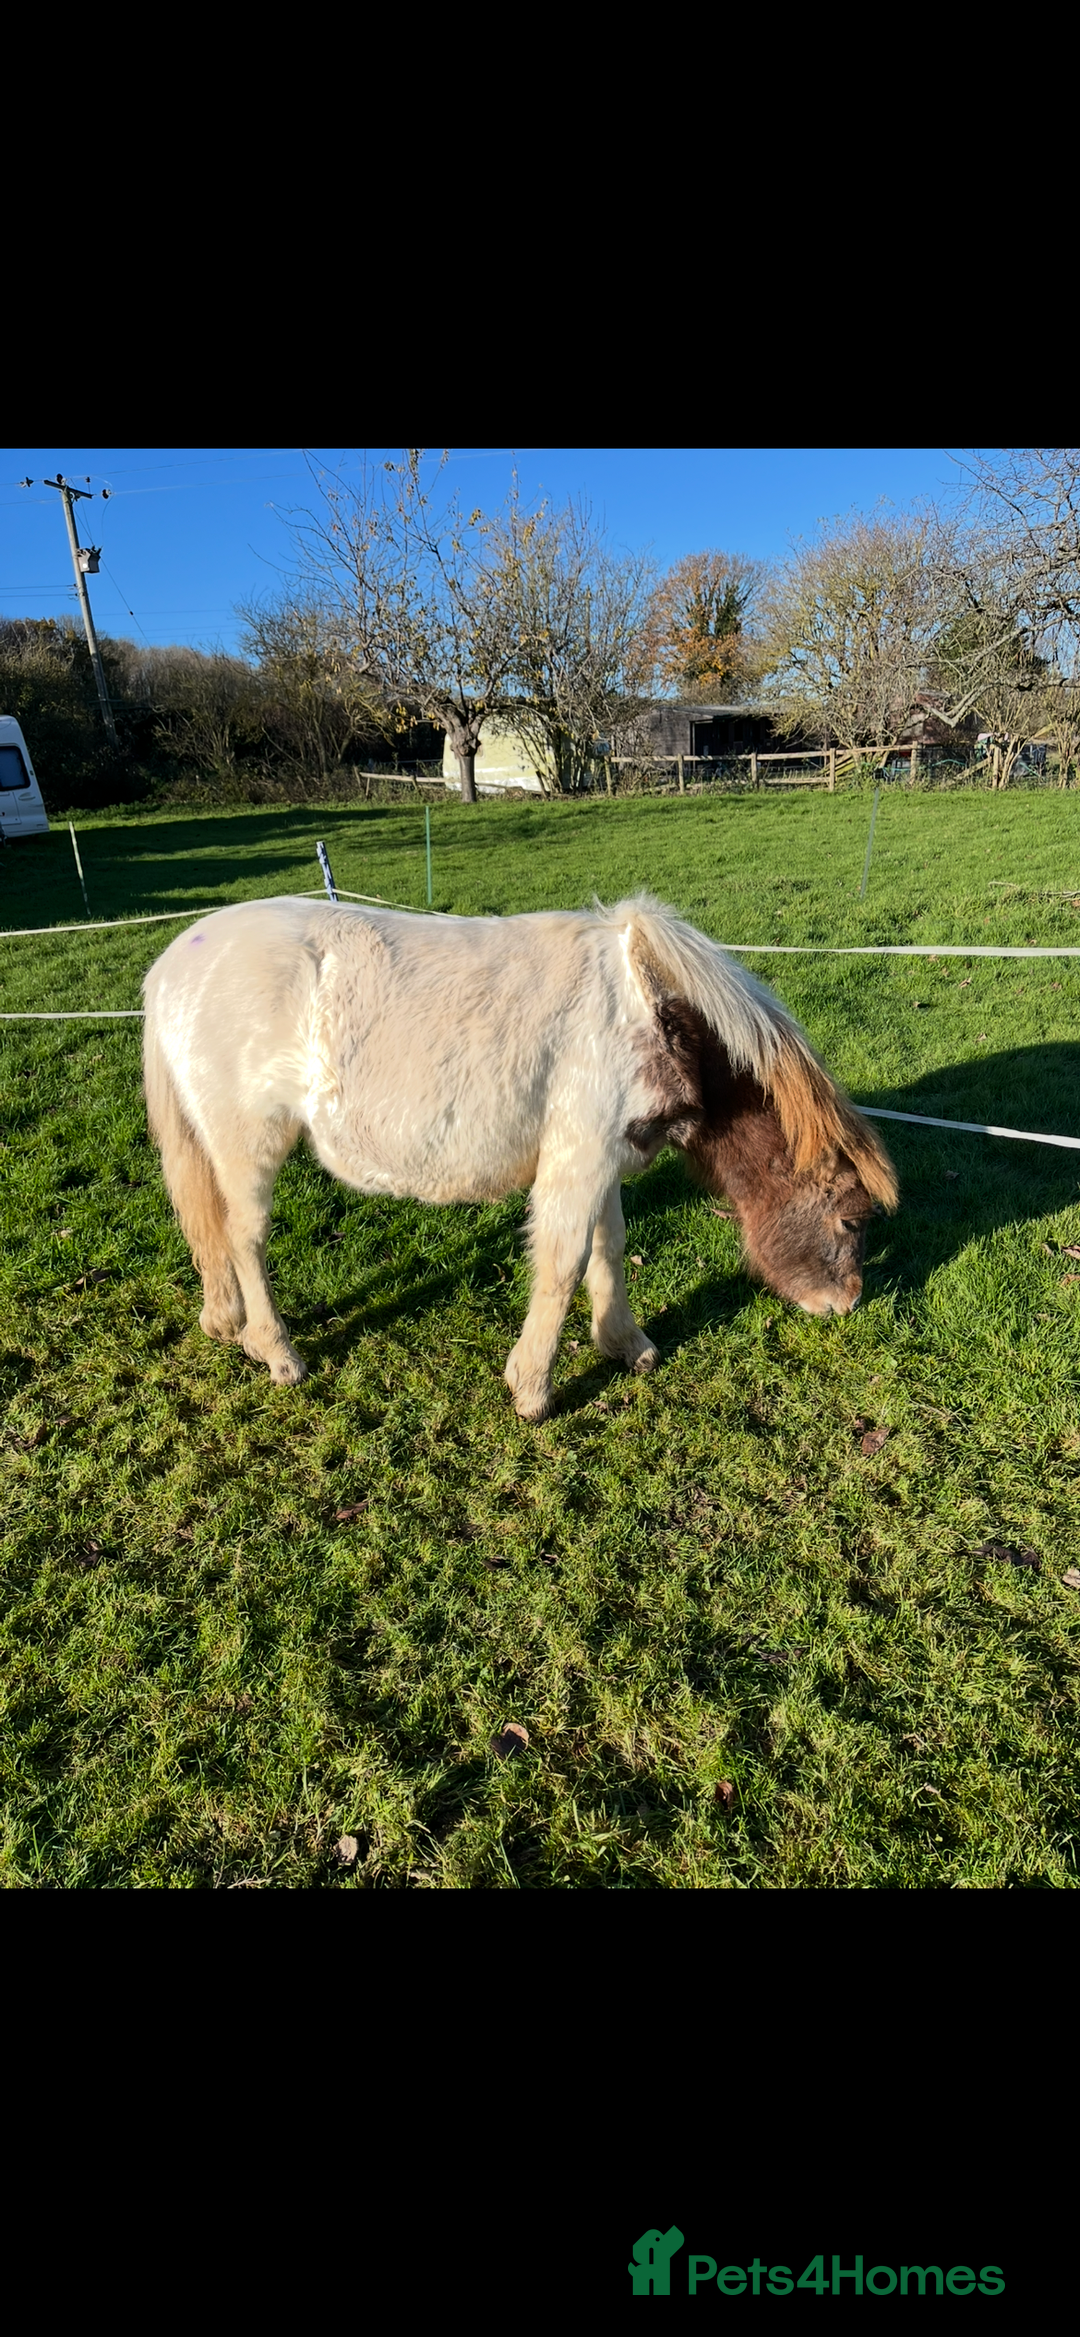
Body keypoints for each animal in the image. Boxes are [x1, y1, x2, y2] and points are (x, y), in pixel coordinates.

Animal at [142, 893, 897, 1421]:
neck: (652, 1013)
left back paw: (227, 1323)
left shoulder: (601, 1156)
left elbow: (608, 1247)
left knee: (213, 1233)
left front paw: (626, 1343)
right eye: (852, 1220)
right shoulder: (579, 1159)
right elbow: (562, 1265)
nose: (846, 1304)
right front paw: (532, 1388)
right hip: (249, 1145)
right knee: (245, 1237)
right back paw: (277, 1351)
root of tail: (173, 964)